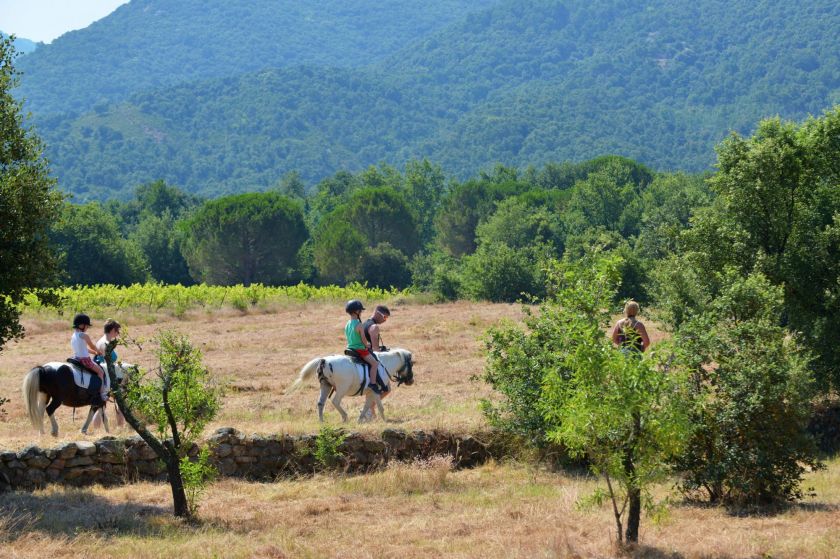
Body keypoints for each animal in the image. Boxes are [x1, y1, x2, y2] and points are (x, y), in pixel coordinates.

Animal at [288, 348, 416, 422]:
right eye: (412, 364)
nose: (411, 381)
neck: (383, 364)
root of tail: (324, 360)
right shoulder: (376, 391)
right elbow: (380, 407)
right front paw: (385, 421)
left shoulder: (370, 392)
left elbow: (367, 405)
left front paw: (360, 419)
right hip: (341, 388)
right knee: (335, 401)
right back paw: (345, 417)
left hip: (325, 386)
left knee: (320, 403)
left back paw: (321, 422)